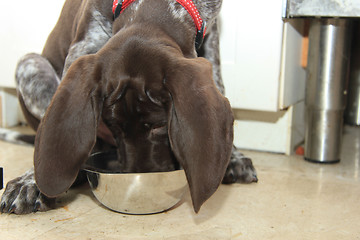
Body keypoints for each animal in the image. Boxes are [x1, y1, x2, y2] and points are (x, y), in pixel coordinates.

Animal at [1, 0, 258, 214]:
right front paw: (33, 181)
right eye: (111, 125)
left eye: (159, 126)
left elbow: (218, 84)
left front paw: (233, 157)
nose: (139, 175)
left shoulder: (210, 36)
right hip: (30, 64)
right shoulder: (82, 50)